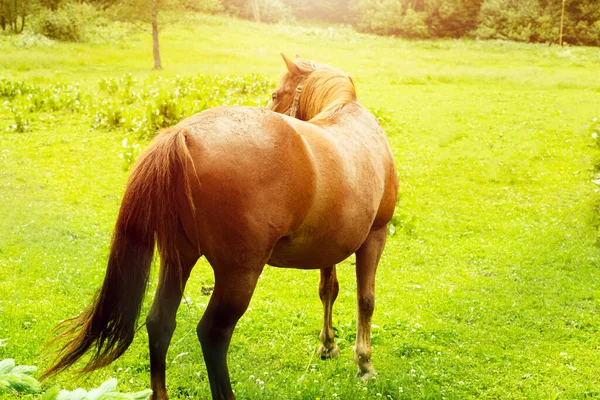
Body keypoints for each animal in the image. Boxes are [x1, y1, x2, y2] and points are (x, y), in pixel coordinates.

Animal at [42, 55, 398, 400]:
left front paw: (328, 345)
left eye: (275, 94)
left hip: (179, 259)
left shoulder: (330, 246)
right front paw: (364, 363)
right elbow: (365, 300)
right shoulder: (374, 236)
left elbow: (329, 290)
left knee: (159, 322)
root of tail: (183, 134)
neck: (346, 113)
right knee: (213, 333)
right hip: (238, 274)